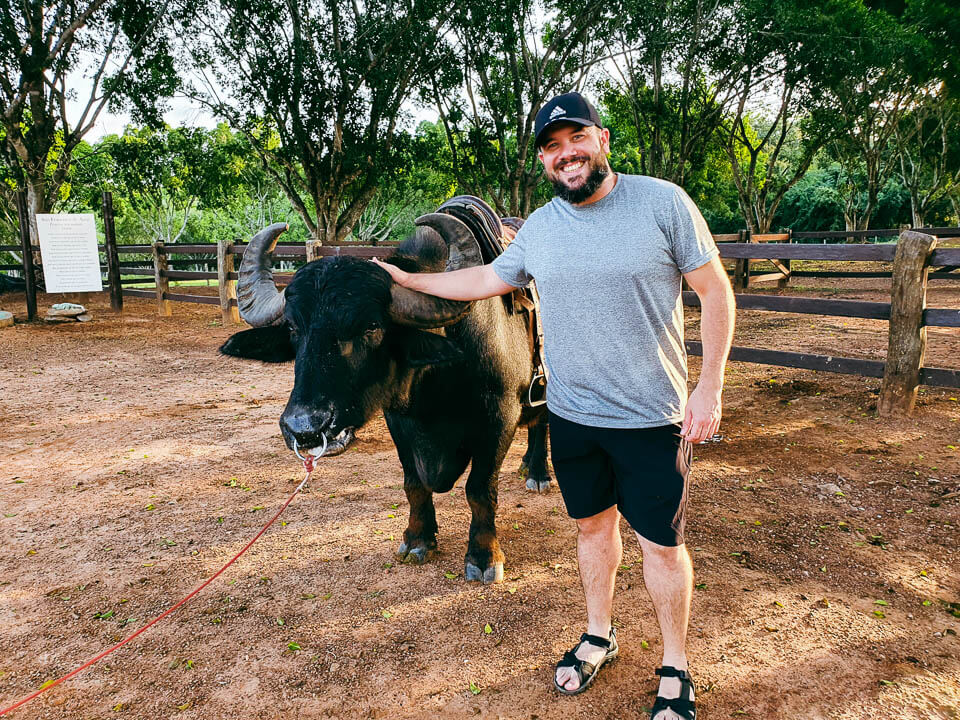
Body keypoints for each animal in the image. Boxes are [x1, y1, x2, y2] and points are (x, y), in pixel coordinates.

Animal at [218, 211, 548, 584]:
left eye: (371, 327)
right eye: (292, 328)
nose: (304, 428)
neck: (435, 393)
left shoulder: (499, 417)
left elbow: (479, 490)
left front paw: (483, 557)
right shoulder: (398, 421)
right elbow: (414, 484)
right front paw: (418, 540)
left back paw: (539, 473)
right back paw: (527, 465)